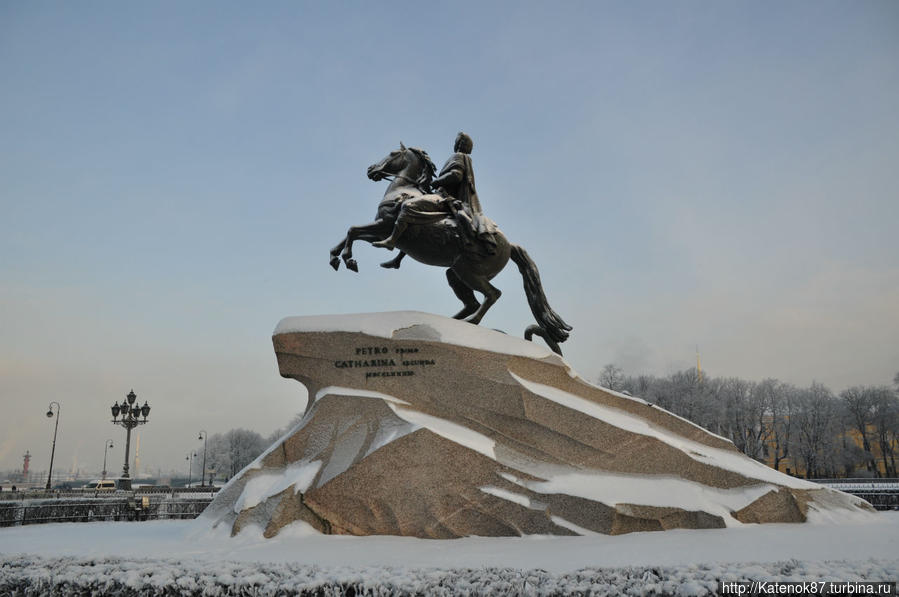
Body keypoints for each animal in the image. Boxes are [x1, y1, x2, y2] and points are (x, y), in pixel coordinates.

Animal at [326, 142, 572, 352]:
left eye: (393, 153)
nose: (371, 170)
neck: (403, 190)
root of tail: (510, 246)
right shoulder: (379, 228)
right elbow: (350, 233)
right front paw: (337, 257)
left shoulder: (384, 226)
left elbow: (354, 230)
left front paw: (348, 259)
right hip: (456, 272)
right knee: (472, 302)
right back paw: (454, 322)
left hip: (468, 272)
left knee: (492, 295)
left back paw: (472, 321)